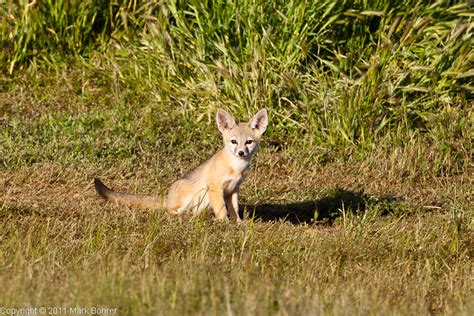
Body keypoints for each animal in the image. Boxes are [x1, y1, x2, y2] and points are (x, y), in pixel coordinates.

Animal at [94, 108, 268, 222]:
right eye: (233, 141)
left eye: (248, 142)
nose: (241, 153)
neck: (236, 168)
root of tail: (167, 197)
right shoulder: (215, 188)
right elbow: (221, 210)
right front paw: (224, 224)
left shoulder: (233, 190)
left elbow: (234, 210)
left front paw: (238, 224)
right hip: (194, 196)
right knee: (171, 211)